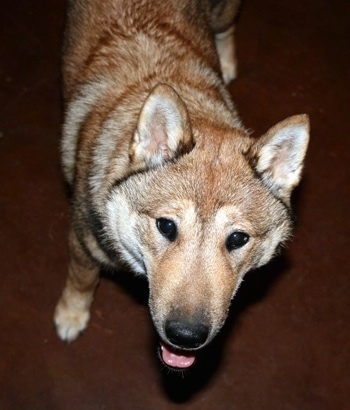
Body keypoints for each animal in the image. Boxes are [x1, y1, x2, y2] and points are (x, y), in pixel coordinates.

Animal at [53, 0, 308, 370]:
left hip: (222, 13)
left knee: (226, 29)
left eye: (237, 239)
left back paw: (227, 63)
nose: (186, 336)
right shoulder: (83, 242)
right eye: (166, 226)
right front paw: (71, 316)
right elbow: (81, 280)